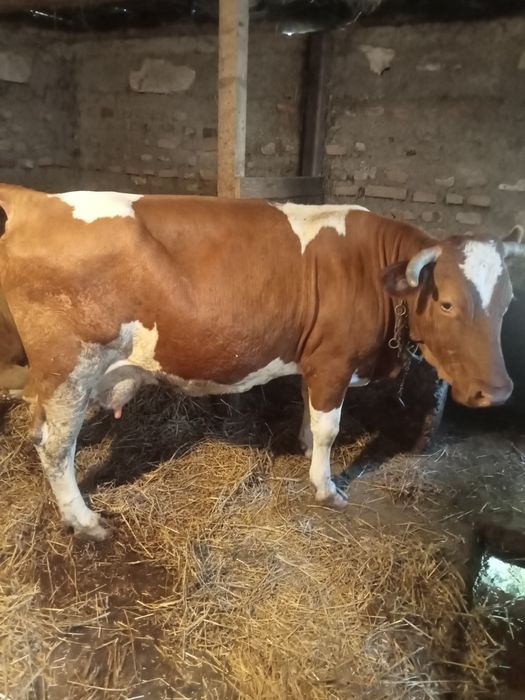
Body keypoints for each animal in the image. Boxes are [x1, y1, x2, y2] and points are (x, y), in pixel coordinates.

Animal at [0, 183, 522, 540]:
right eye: (447, 303)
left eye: (507, 302)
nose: (498, 392)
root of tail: (40, 201)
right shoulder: (335, 361)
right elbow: (330, 428)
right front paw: (326, 487)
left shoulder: (315, 359)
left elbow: (311, 416)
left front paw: (304, 448)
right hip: (70, 369)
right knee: (55, 448)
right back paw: (84, 520)